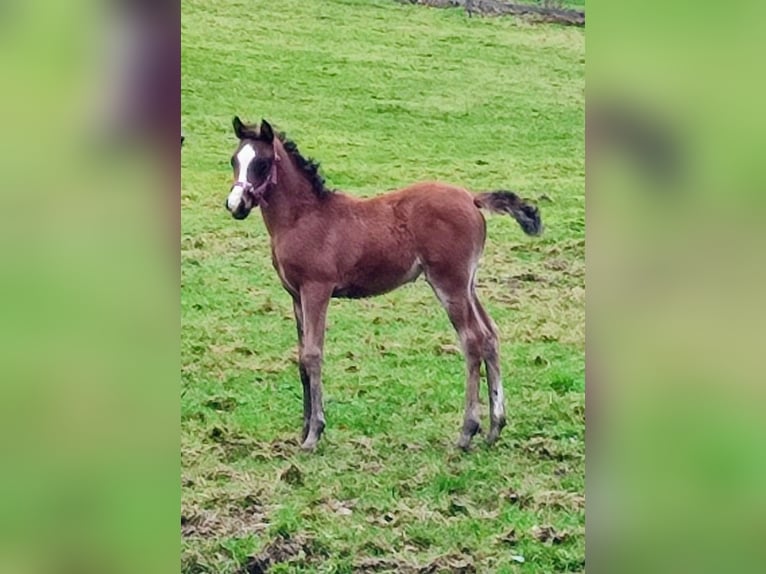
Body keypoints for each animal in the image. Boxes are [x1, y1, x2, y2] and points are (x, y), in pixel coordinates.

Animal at [224, 117, 542, 451]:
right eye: (234, 160)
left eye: (261, 163)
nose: (235, 205)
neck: (303, 217)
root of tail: (472, 197)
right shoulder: (295, 295)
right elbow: (301, 359)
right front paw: (303, 431)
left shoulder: (316, 289)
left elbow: (313, 354)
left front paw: (314, 434)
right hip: (467, 284)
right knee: (490, 335)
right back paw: (495, 428)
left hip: (449, 283)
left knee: (472, 340)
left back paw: (467, 431)